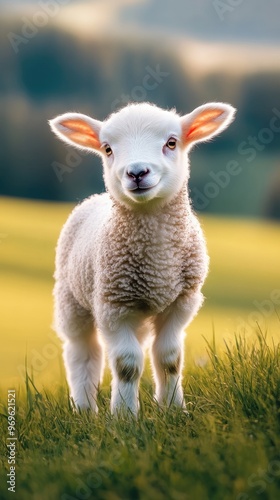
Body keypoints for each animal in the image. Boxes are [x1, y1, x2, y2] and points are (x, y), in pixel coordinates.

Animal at [49, 100, 235, 414]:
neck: (157, 263)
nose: (136, 173)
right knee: (83, 352)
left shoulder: (181, 302)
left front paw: (173, 409)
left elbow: (169, 358)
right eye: (107, 149)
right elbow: (127, 365)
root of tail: (94, 198)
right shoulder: (113, 306)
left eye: (171, 142)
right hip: (72, 300)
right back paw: (85, 409)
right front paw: (125, 415)